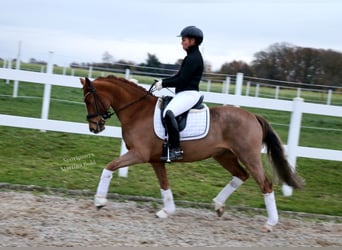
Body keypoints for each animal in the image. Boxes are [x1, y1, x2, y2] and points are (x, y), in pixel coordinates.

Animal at [80, 75, 302, 231]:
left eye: (89, 100)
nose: (94, 127)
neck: (138, 112)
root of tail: (253, 116)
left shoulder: (139, 154)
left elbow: (108, 167)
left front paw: (99, 201)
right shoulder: (155, 160)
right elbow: (164, 185)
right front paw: (167, 211)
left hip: (249, 156)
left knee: (265, 184)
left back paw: (270, 223)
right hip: (224, 155)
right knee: (241, 175)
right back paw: (218, 205)